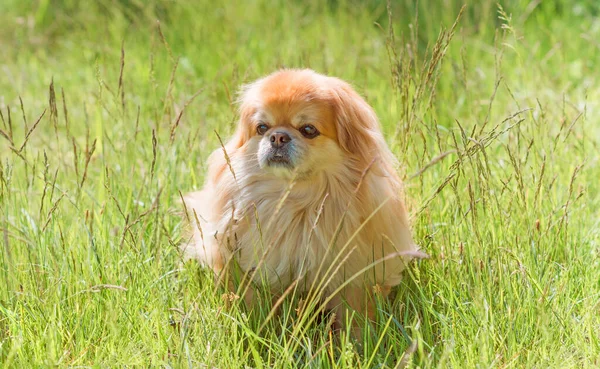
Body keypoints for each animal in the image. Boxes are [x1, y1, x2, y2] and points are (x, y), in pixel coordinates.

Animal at [183, 68, 422, 334]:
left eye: (308, 130)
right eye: (262, 127)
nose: (277, 136)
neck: (296, 200)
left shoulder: (355, 273)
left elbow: (355, 316)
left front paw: (357, 339)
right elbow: (251, 302)